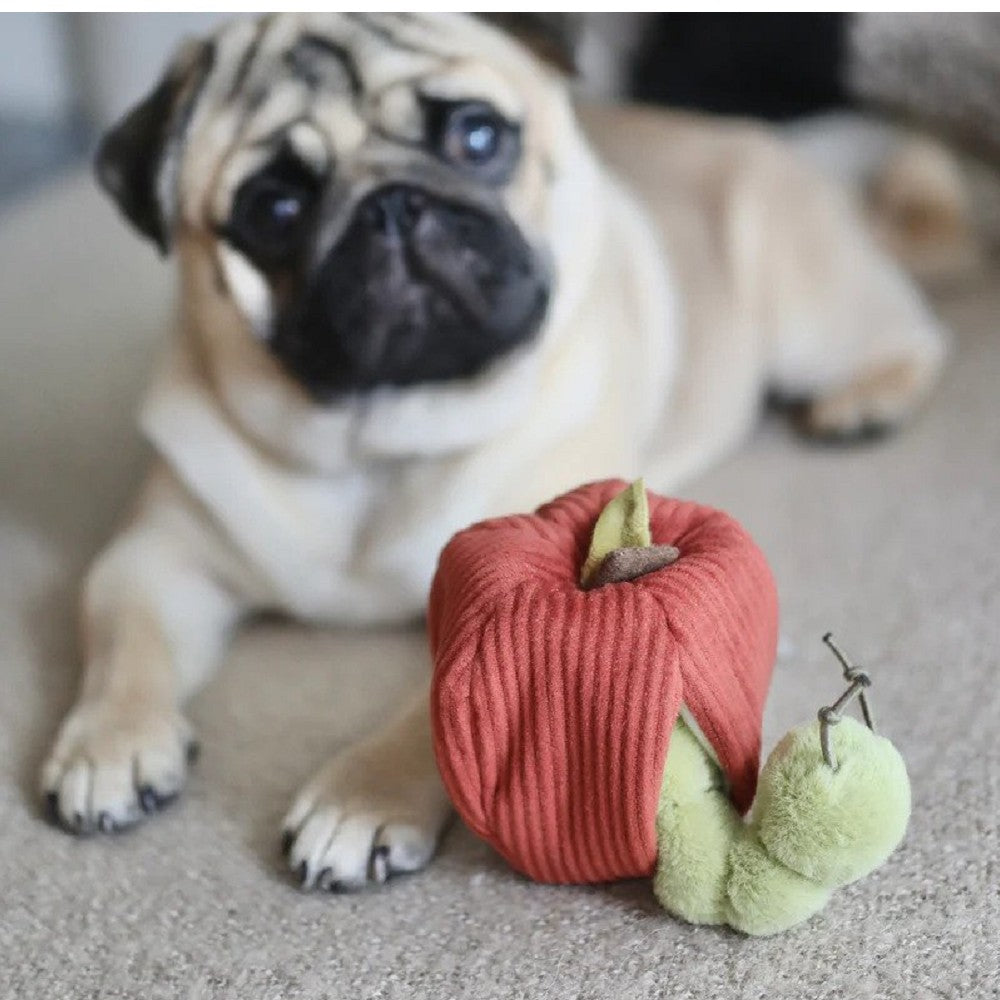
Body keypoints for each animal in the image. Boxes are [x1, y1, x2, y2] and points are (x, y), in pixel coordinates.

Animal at [41, 13, 945, 891]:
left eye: (478, 138)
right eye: (274, 209)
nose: (390, 206)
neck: (376, 439)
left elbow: (437, 711)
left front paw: (361, 796)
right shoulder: (153, 558)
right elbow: (124, 644)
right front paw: (108, 744)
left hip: (809, 311)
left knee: (913, 335)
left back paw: (865, 403)